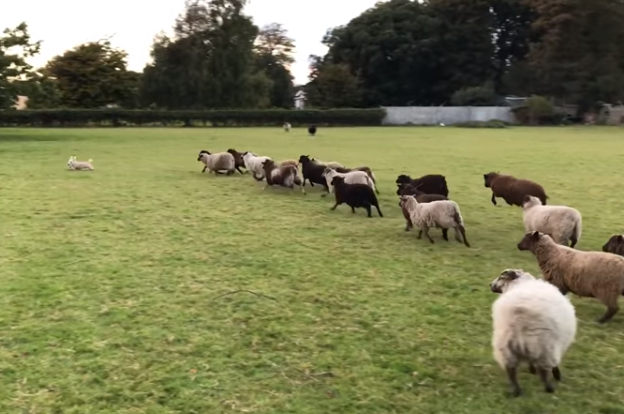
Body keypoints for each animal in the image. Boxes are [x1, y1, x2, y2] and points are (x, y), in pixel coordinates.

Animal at [490, 268, 576, 398]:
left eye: (501, 277)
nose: (490, 285)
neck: (521, 283)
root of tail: (519, 313)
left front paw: (532, 370)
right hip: (544, 345)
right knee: (545, 370)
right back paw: (549, 388)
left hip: (505, 343)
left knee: (511, 370)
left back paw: (517, 391)